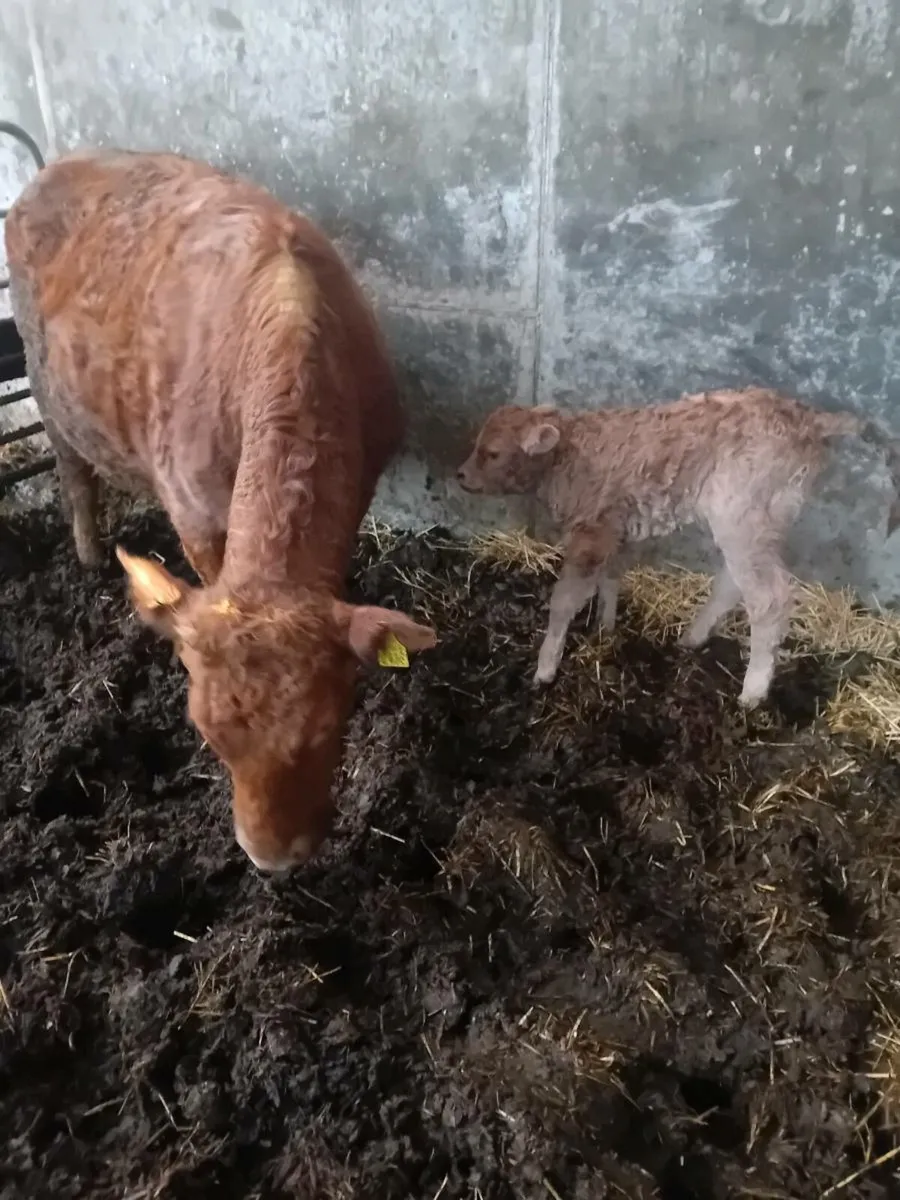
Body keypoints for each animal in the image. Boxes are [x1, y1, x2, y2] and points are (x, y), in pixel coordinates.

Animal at [5, 148, 437, 872]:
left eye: (330, 724)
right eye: (206, 733)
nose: (271, 860)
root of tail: (61, 164)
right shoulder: (197, 516)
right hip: (49, 397)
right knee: (75, 477)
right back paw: (89, 555)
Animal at [456, 388, 900, 708]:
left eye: (492, 452)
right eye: (476, 442)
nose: (460, 475)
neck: (568, 458)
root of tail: (808, 417)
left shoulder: (589, 535)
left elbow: (564, 601)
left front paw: (545, 668)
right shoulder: (614, 529)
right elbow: (612, 576)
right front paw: (606, 628)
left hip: (743, 518)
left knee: (768, 597)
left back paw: (752, 692)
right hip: (757, 523)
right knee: (735, 583)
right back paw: (693, 639)